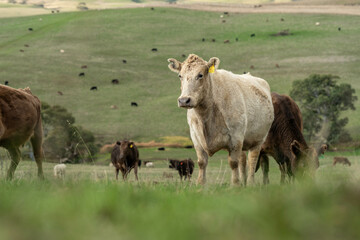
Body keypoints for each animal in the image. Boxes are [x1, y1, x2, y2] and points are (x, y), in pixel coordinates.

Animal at [167, 54, 274, 186]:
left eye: (200, 75)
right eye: (180, 76)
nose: (184, 100)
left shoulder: (236, 137)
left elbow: (233, 163)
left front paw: (235, 185)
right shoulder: (196, 137)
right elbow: (202, 162)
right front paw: (200, 184)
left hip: (258, 140)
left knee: (251, 161)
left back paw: (250, 183)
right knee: (243, 161)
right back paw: (244, 182)